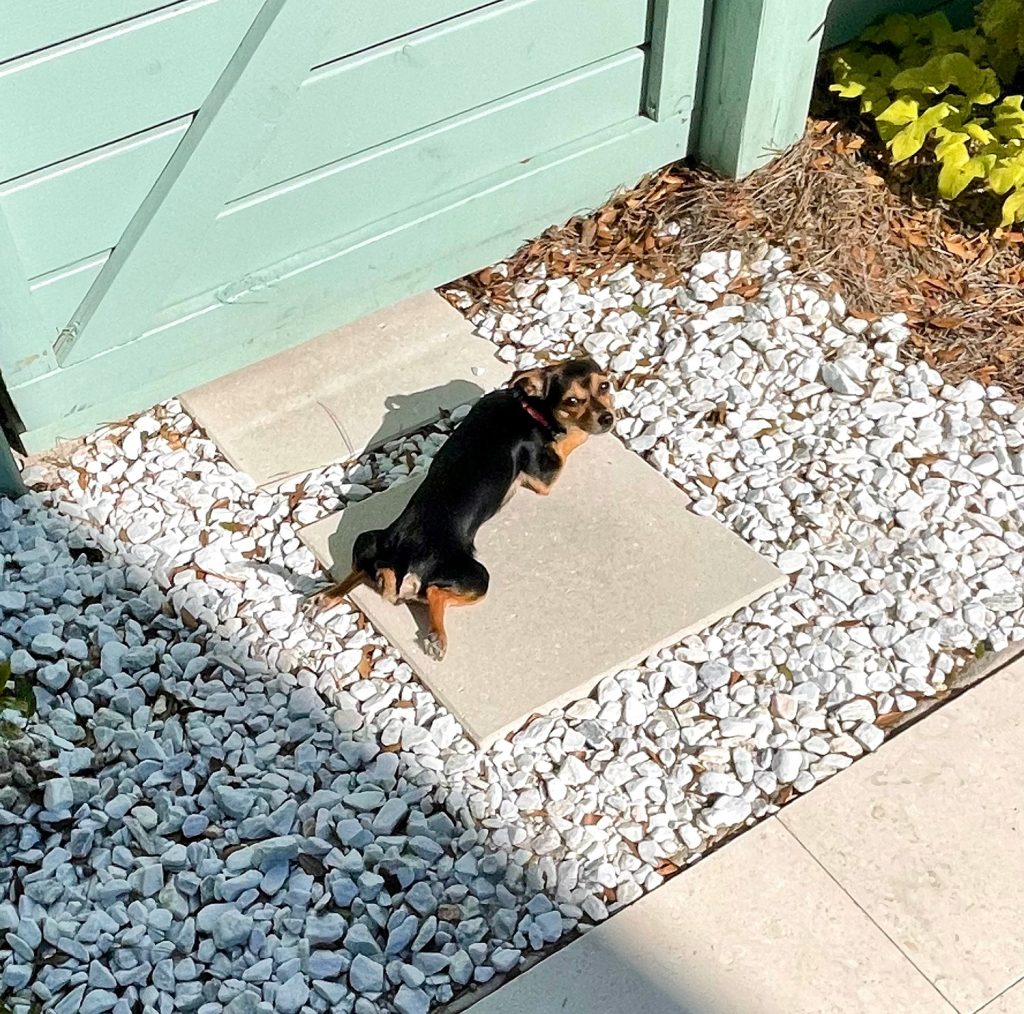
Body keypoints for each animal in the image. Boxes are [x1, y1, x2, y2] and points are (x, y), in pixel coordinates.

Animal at [311, 354, 614, 659]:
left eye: (605, 386)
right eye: (572, 401)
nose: (608, 418)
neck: (527, 407)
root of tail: (402, 562)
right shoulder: (544, 477)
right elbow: (576, 437)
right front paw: (582, 431)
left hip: (368, 539)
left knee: (359, 569)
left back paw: (328, 595)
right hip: (478, 578)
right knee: (434, 593)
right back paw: (437, 638)